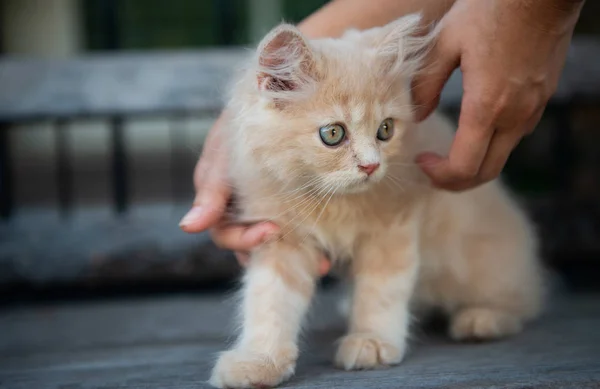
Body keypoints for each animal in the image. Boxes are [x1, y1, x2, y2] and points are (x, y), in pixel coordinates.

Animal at [209, 14, 548, 388]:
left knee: (524, 299)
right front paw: (259, 361)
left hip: (481, 263)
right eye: (333, 134)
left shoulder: (392, 230)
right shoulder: (280, 239)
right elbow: (269, 303)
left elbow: (381, 292)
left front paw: (371, 342)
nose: (371, 166)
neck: (334, 202)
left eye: (385, 130)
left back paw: (481, 319)